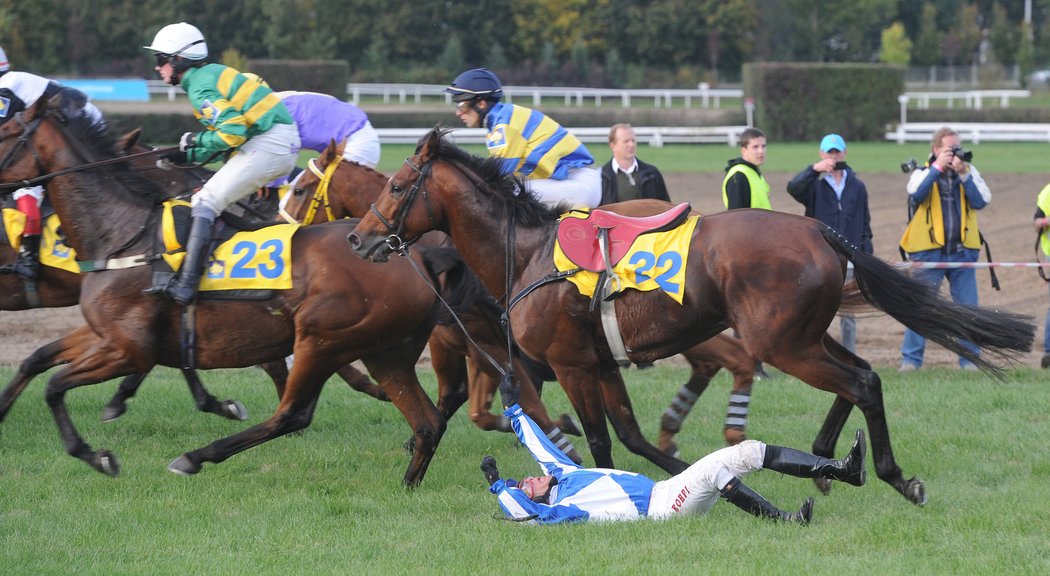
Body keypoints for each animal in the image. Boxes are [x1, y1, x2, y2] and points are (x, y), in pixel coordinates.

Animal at [0, 98, 455, 484]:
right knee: (425, 420)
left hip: (322, 337)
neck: (123, 236)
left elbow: (56, 383)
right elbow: (40, 365)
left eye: (4, 132)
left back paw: (195, 457)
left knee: (293, 414)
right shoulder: (108, 337)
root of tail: (415, 258)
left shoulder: (129, 349)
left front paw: (98, 453)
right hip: (384, 350)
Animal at [350, 129, 1033, 503]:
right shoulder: (603, 363)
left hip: (782, 343)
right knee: (862, 373)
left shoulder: (573, 364)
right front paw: (719, 483)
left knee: (863, 380)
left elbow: (601, 442)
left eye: (396, 186)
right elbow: (633, 439)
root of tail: (820, 229)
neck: (529, 254)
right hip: (800, 336)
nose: (358, 239)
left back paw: (886, 472)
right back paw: (825, 461)